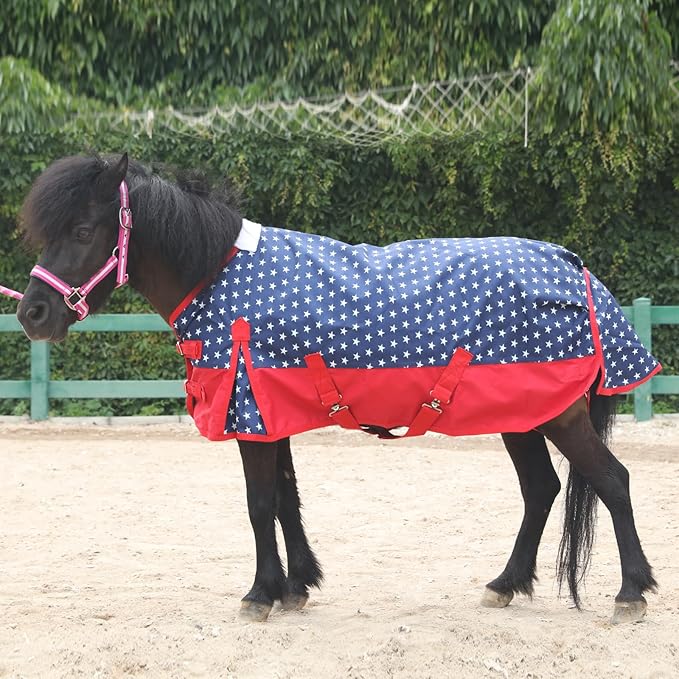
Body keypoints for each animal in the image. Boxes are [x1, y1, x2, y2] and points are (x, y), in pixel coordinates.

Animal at [13, 153, 658, 624]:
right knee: (542, 490)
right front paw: (296, 586)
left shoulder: (250, 414)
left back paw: (630, 593)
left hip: (558, 416)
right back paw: (505, 584)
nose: (32, 313)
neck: (218, 273)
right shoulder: (270, 413)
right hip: (522, 414)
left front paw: (260, 594)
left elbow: (259, 504)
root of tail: (573, 266)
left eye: (82, 229)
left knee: (613, 482)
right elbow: (286, 500)